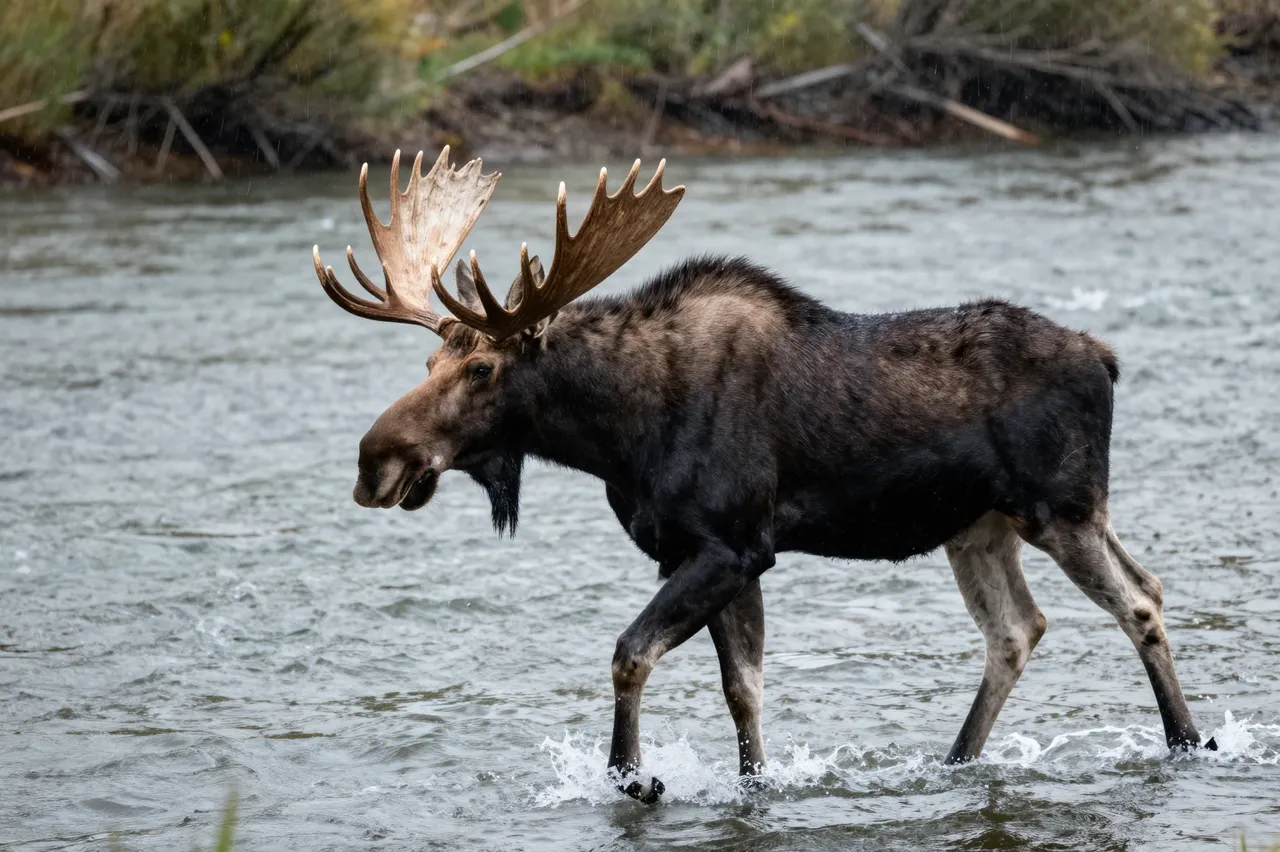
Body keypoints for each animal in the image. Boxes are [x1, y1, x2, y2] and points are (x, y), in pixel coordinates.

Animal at [312, 148, 1216, 803]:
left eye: (483, 370)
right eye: (428, 361)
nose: (374, 462)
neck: (618, 433)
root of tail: (1107, 357)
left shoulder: (733, 544)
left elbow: (630, 654)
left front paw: (632, 777)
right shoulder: (708, 555)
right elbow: (742, 687)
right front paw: (752, 781)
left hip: (1062, 507)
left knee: (1139, 601)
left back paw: (1186, 742)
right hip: (981, 527)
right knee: (1021, 628)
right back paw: (956, 763)